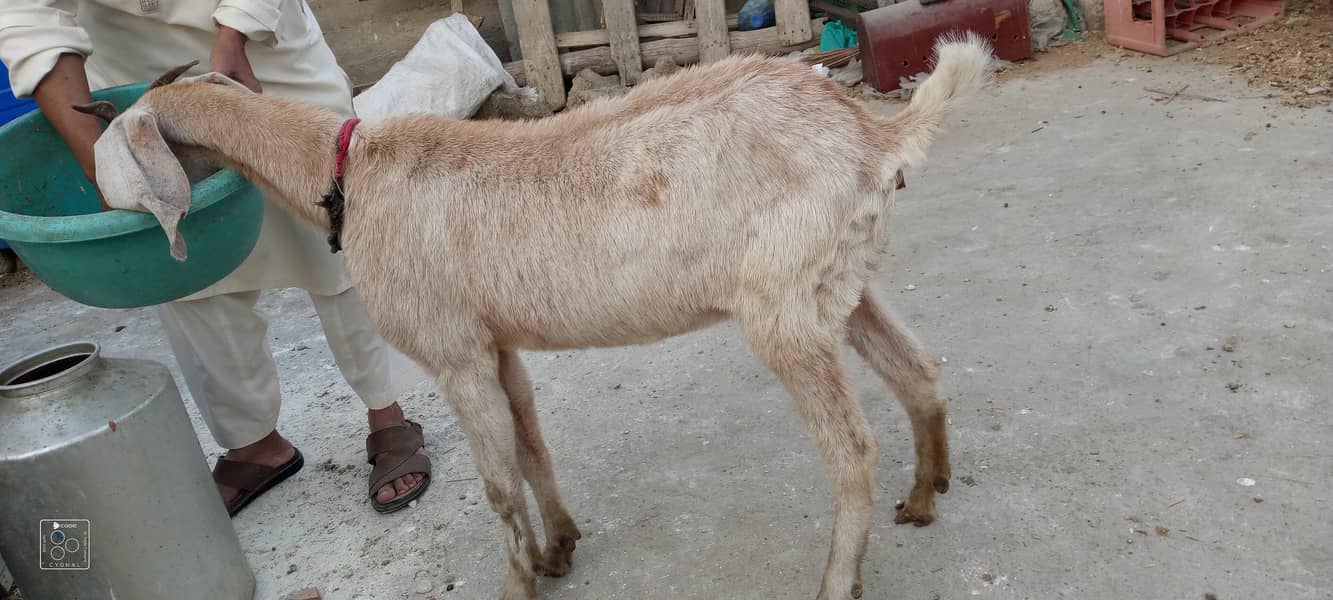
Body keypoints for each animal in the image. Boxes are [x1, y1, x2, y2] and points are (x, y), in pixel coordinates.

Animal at [83, 36, 997, 600]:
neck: (347, 170)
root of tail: (871, 132)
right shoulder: (498, 345)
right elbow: (530, 444)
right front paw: (559, 547)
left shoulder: (451, 350)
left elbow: (493, 482)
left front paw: (517, 580)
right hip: (837, 280)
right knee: (918, 369)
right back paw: (923, 494)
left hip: (781, 307)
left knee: (849, 450)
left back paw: (837, 578)